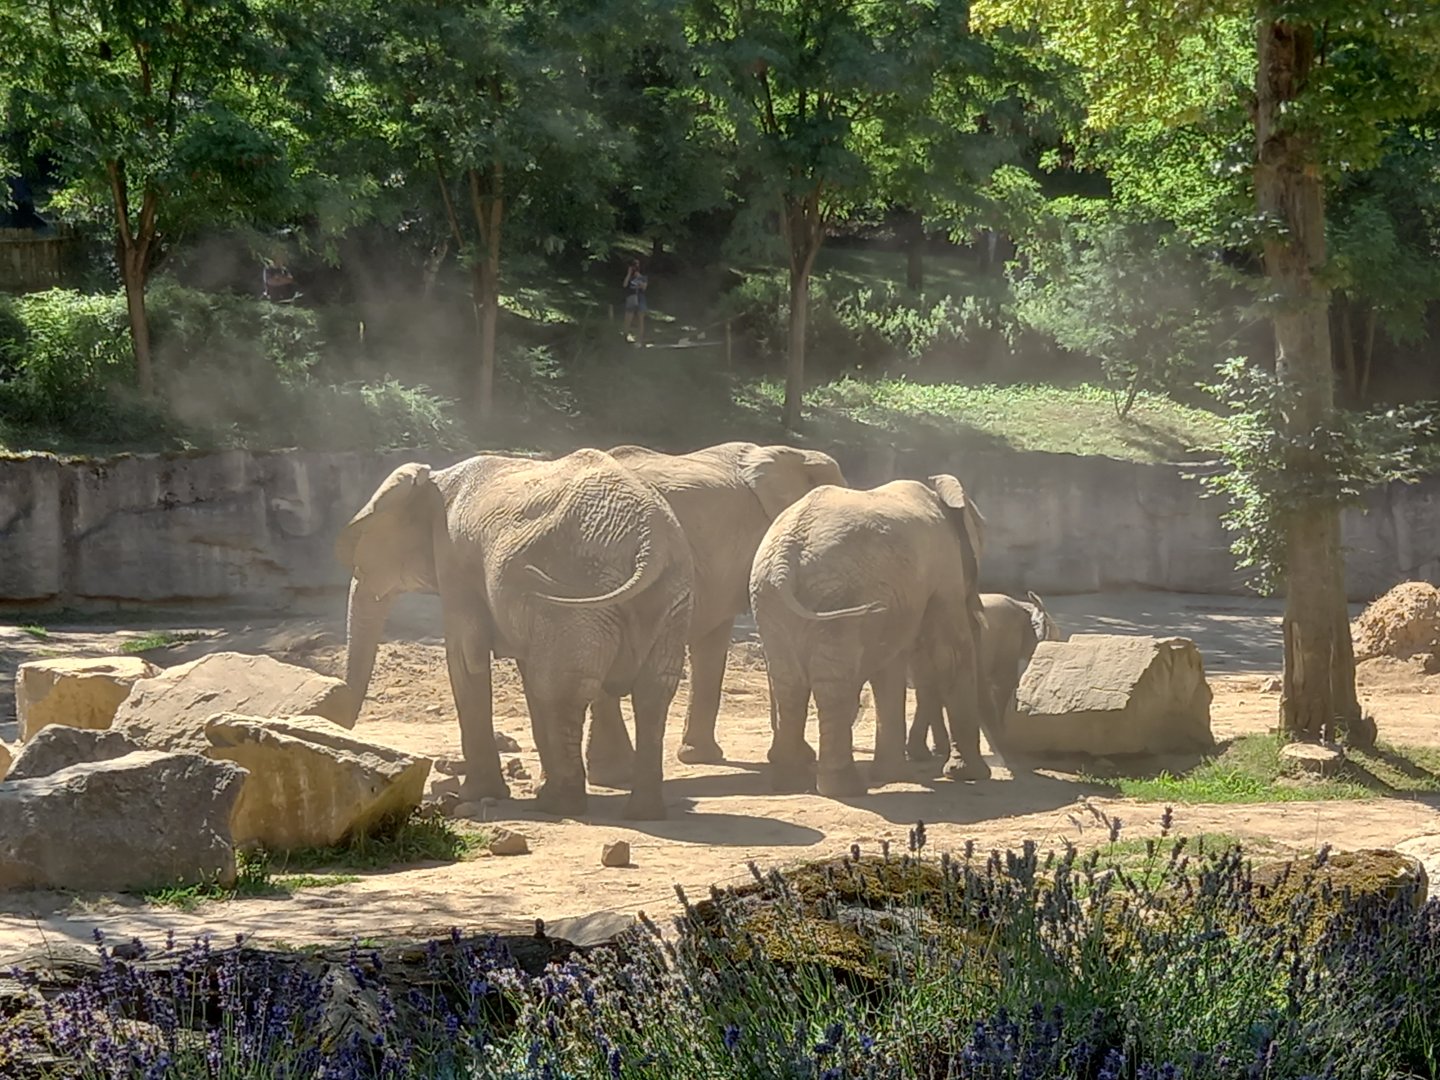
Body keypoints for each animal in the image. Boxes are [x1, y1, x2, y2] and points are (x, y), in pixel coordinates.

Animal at [334, 448, 694, 820]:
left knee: (562, 690)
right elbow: (524, 672)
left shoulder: (455, 561)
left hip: (581, 589)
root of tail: (650, 544)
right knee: (652, 693)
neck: (436, 478)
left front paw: (476, 795)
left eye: (362, 558)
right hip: (669, 597)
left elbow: (467, 658)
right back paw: (642, 812)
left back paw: (559, 806)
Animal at [748, 475, 988, 796]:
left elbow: (890, 667)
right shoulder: (944, 569)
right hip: (838, 594)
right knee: (831, 685)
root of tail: (785, 560)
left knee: (789, 682)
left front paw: (894, 775)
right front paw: (971, 775)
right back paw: (845, 789)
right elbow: (949, 653)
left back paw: (790, 784)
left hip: (771, 600)